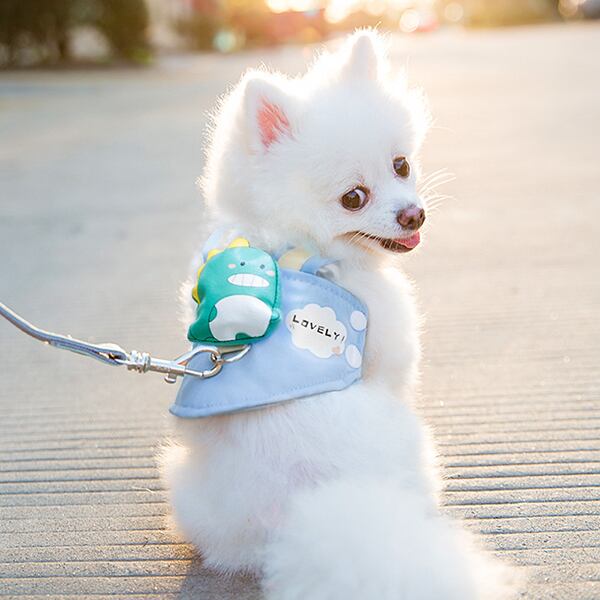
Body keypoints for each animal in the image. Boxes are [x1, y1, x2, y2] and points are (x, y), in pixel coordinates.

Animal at [159, 29, 506, 600]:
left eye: (401, 165)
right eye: (353, 198)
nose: (414, 214)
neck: (296, 243)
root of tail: (305, 515)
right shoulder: (390, 350)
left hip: (187, 488)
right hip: (413, 444)